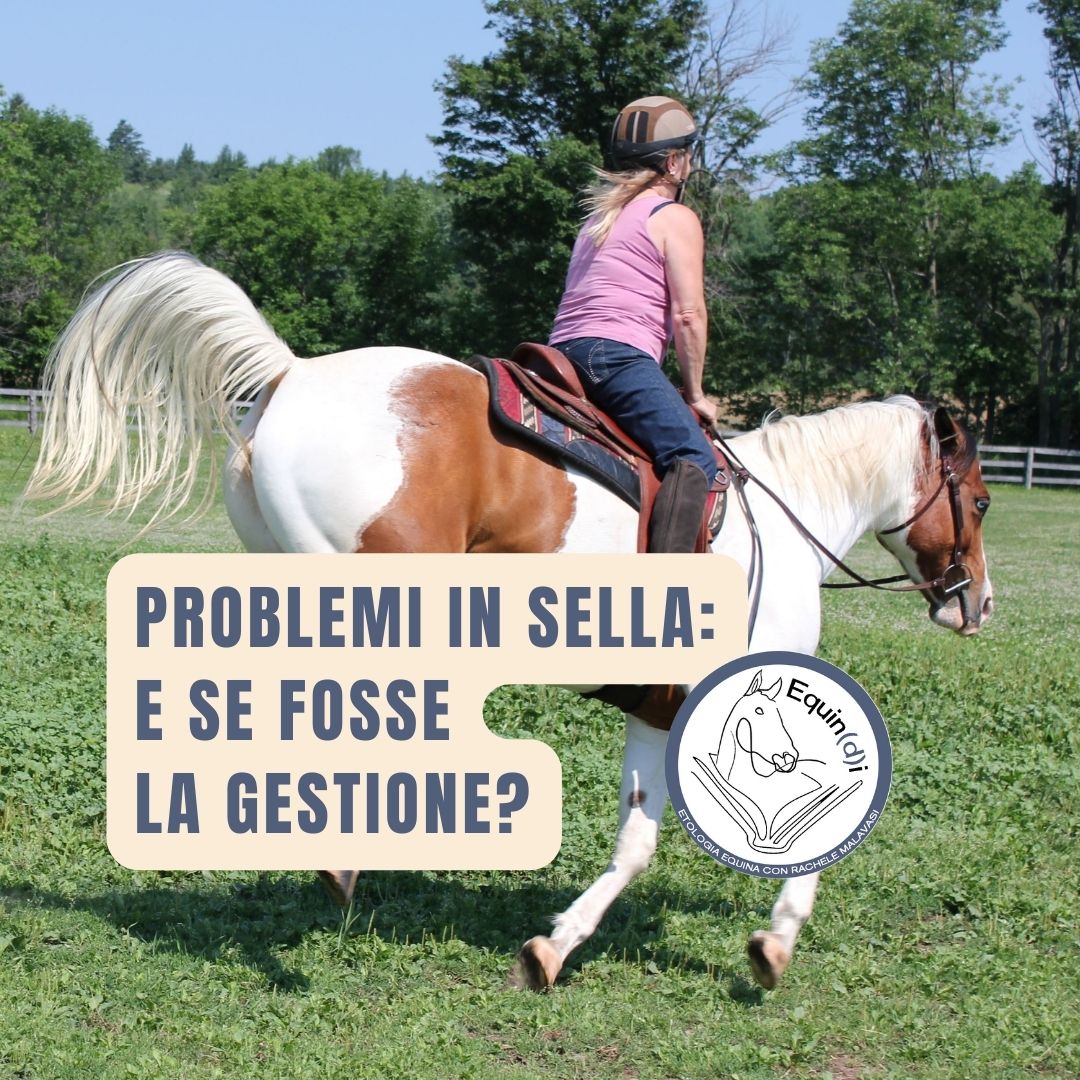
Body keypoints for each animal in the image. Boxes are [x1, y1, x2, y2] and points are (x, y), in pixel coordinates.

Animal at [25, 251, 994, 992]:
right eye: (980, 500)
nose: (976, 603)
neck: (781, 519)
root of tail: (293, 372)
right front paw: (775, 941)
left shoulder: (657, 709)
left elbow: (636, 843)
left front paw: (553, 949)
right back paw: (339, 860)